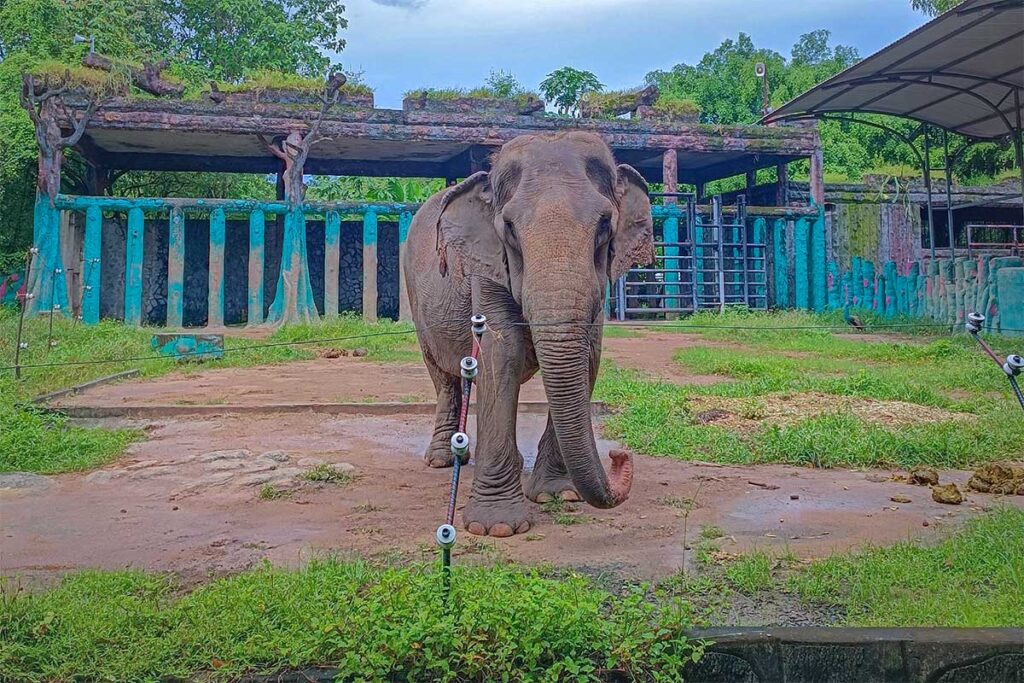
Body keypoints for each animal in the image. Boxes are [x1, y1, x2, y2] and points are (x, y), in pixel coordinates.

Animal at [403, 131, 655, 537]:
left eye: (605, 224)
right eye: (509, 227)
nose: (619, 456)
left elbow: (588, 356)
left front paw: (558, 495)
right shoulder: (488, 266)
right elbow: (500, 352)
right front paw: (495, 527)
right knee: (444, 376)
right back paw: (442, 459)